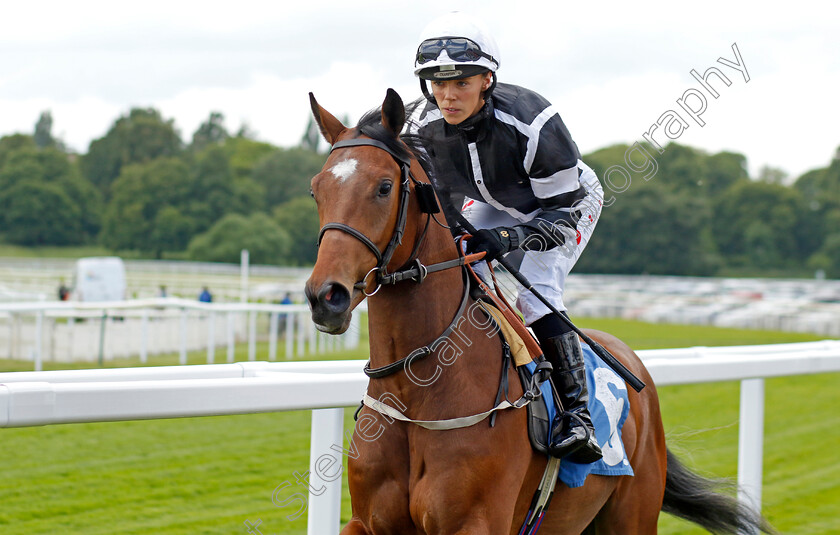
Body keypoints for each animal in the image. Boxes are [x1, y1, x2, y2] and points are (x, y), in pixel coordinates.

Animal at [306, 89, 772, 535]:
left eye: (384, 187)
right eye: (316, 189)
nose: (326, 296)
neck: (416, 397)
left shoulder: (475, 522)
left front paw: (494, 241)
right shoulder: (366, 522)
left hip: (632, 513)